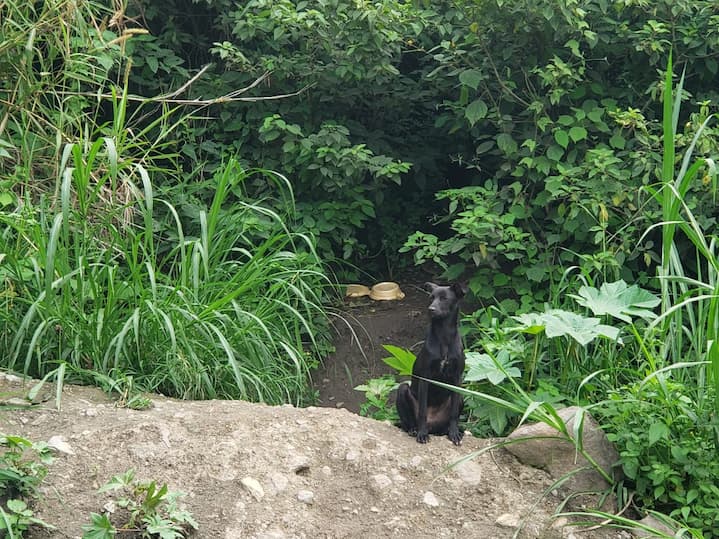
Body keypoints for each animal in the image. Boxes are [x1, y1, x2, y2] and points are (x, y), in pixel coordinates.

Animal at [394, 282, 466, 448]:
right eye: (431, 297)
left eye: (444, 298)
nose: (430, 309)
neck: (444, 337)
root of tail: (433, 427)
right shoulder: (425, 379)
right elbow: (422, 412)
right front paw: (422, 434)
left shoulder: (457, 379)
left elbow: (454, 414)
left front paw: (454, 434)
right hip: (403, 390)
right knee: (407, 422)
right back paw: (414, 430)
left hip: (461, 398)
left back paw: (448, 431)